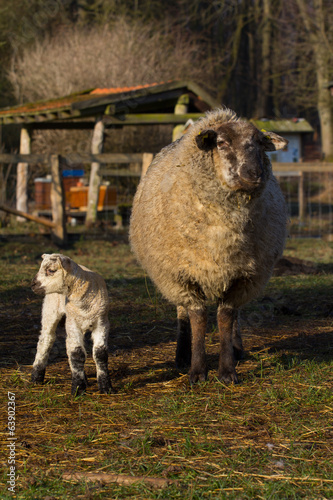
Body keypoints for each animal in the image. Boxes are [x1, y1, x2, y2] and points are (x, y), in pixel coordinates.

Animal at [30, 254, 113, 394]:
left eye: (51, 270)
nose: (33, 284)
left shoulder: (102, 323)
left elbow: (100, 354)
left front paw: (106, 387)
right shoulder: (73, 323)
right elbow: (76, 354)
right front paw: (78, 389)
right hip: (51, 310)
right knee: (46, 340)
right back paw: (36, 378)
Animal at [130, 107, 288, 384]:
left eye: (260, 143)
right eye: (221, 143)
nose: (254, 174)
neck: (222, 237)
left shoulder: (243, 275)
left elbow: (226, 317)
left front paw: (227, 371)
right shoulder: (182, 274)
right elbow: (197, 317)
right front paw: (197, 371)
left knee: (235, 316)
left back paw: (236, 349)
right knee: (182, 313)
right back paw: (182, 354)